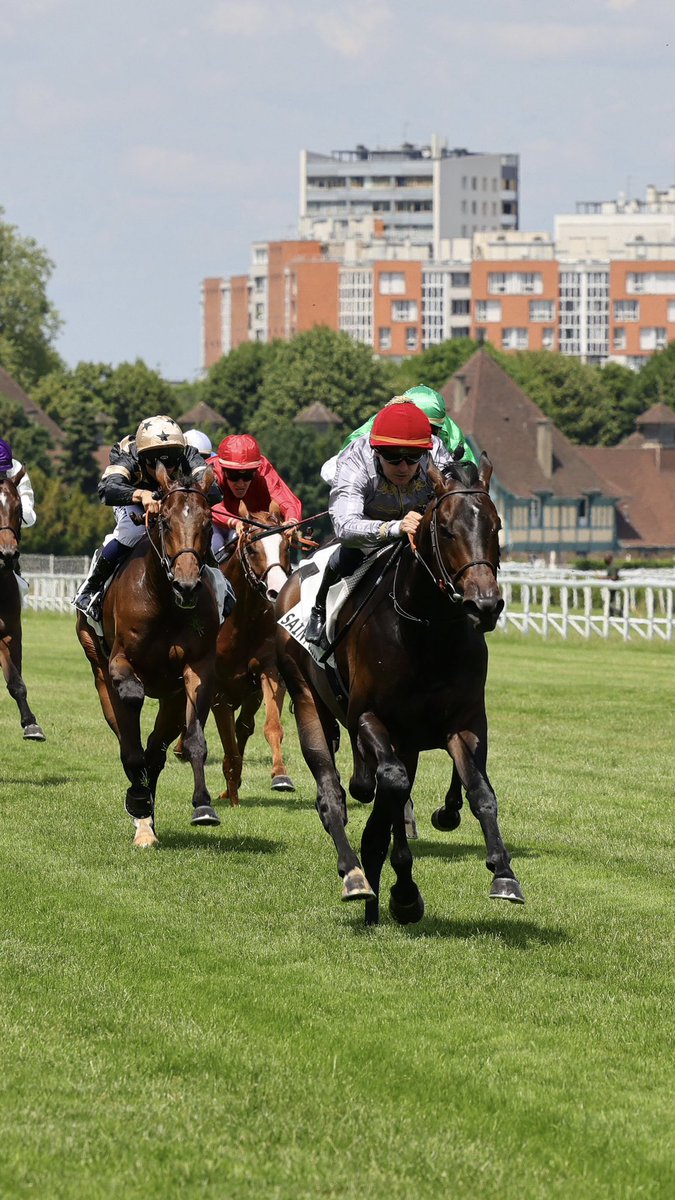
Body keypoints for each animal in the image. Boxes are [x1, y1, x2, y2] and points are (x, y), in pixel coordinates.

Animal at [76, 463, 219, 849]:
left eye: (207, 523)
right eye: (165, 521)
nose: (187, 585)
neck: (164, 600)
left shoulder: (197, 669)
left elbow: (194, 738)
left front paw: (203, 805)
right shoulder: (119, 663)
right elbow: (130, 709)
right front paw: (138, 800)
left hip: (171, 699)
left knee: (155, 750)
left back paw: (148, 820)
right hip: (97, 666)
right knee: (130, 740)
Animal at [208, 501, 295, 801]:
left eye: (285, 546)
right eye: (252, 548)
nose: (277, 591)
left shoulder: (268, 670)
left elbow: (271, 727)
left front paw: (281, 776)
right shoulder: (218, 690)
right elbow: (229, 745)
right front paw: (231, 791)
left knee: (244, 727)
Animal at [273, 451, 521, 926]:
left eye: (496, 525)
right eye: (446, 528)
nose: (485, 604)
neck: (427, 631)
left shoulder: (461, 722)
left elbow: (480, 792)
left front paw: (503, 873)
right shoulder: (369, 717)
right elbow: (391, 784)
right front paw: (394, 885)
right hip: (307, 697)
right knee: (332, 795)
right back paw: (355, 874)